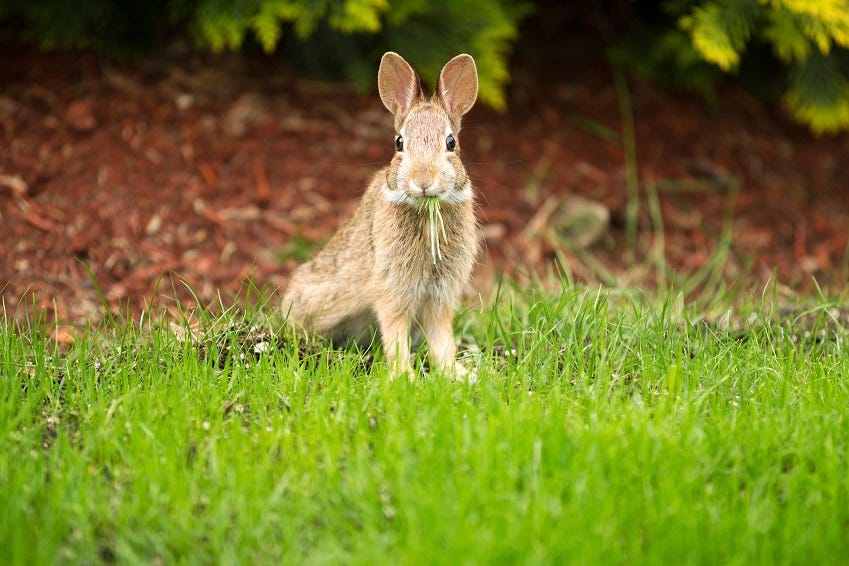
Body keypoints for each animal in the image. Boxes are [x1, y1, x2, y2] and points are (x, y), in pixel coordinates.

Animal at [282, 52, 480, 382]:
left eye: (451, 143)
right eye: (399, 142)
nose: (423, 181)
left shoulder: (439, 296)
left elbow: (442, 340)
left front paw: (458, 374)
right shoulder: (393, 290)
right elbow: (395, 333)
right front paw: (406, 377)